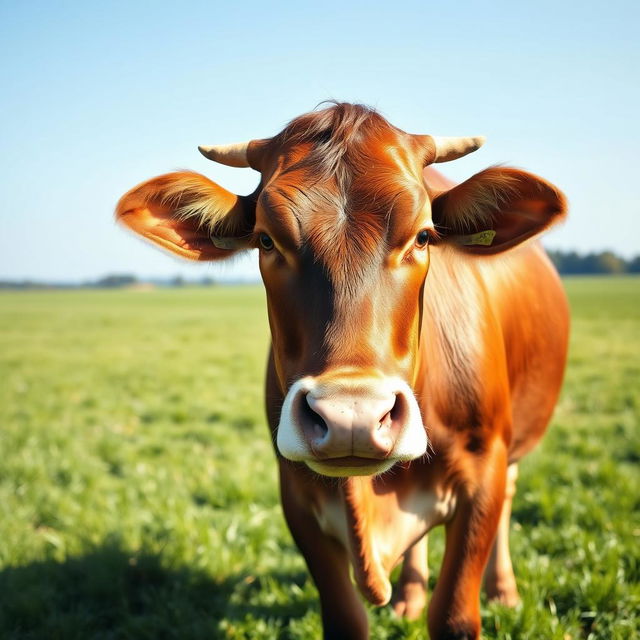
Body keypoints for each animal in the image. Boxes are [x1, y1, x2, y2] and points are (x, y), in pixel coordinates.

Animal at [117, 105, 568, 640]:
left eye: (423, 236)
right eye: (266, 240)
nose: (352, 417)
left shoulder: (485, 468)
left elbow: (455, 614)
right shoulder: (297, 495)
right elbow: (346, 618)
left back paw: (503, 590)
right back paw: (409, 595)